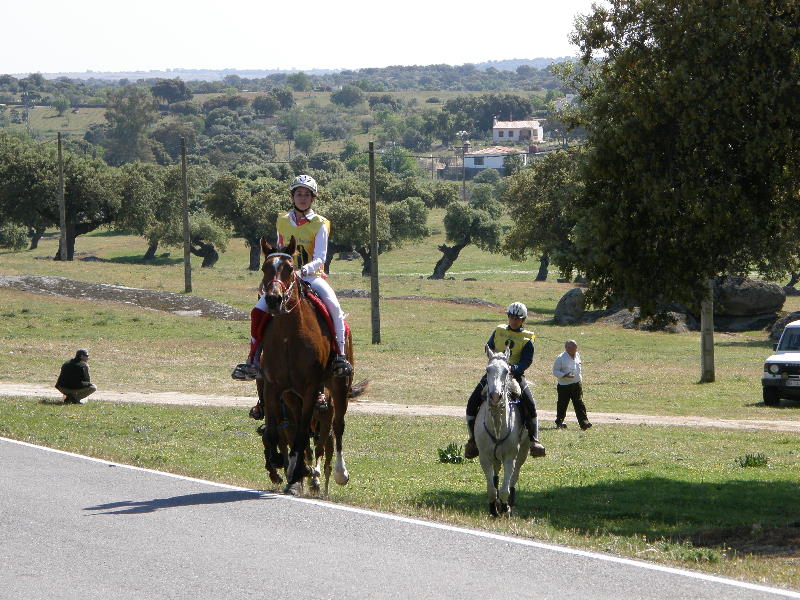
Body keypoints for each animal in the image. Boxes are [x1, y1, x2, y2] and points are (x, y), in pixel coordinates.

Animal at [258, 237, 354, 494]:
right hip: (293, 397)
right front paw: (283, 466)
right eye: (265, 267)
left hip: (339, 386)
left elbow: (303, 435)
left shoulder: (311, 389)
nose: (273, 299)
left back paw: (339, 473)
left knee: (337, 427)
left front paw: (299, 472)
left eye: (290, 268)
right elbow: (275, 433)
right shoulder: (274, 388)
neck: (288, 336)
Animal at [476, 344, 532, 516]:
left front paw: (505, 508)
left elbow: (504, 489)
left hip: (523, 450)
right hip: (495, 457)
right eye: (488, 370)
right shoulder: (484, 458)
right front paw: (493, 509)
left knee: (514, 476)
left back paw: (510, 502)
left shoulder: (509, 458)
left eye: (507, 371)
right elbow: (491, 489)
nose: (495, 396)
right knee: (496, 474)